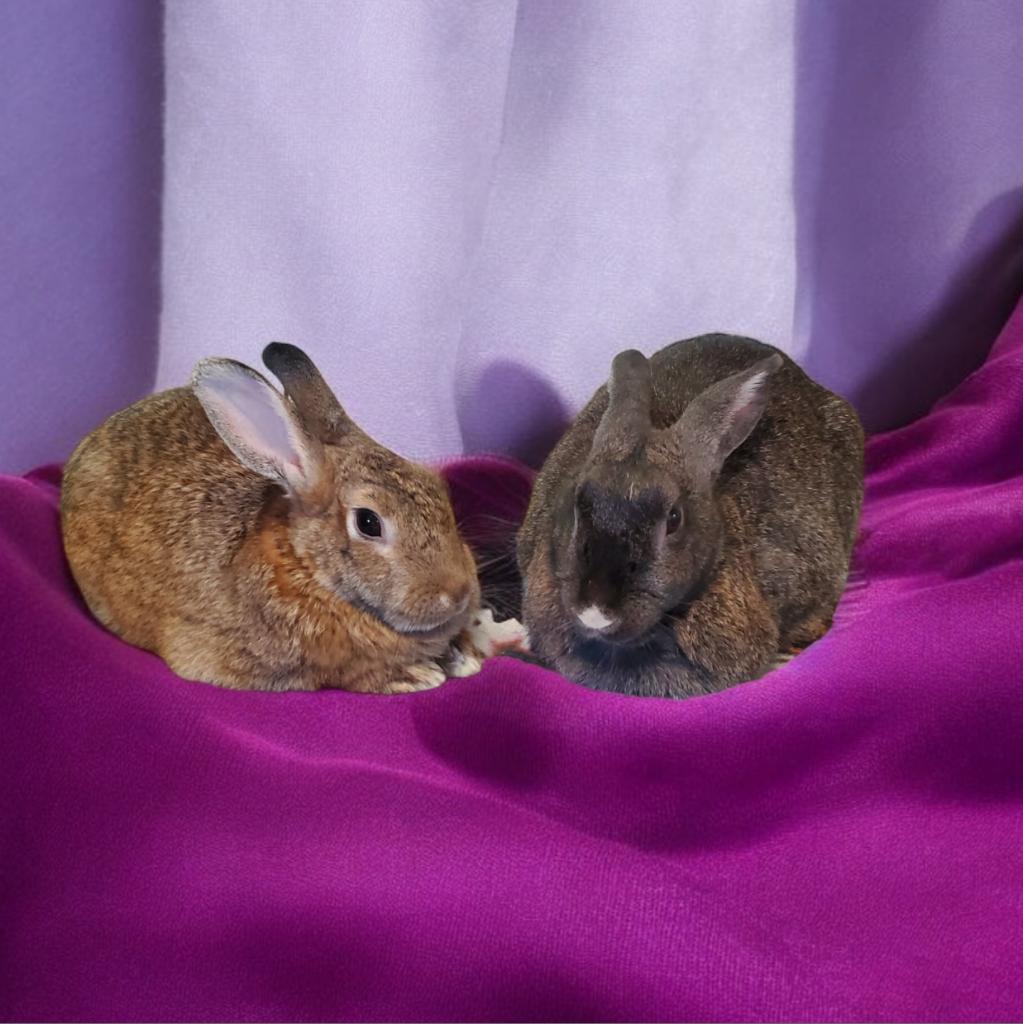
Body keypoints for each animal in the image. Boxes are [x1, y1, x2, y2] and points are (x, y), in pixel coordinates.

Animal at [61, 343, 483, 693]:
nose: (459, 593)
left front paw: (466, 658)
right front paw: (417, 675)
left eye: (438, 488)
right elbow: (349, 675)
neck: (305, 569)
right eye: (368, 522)